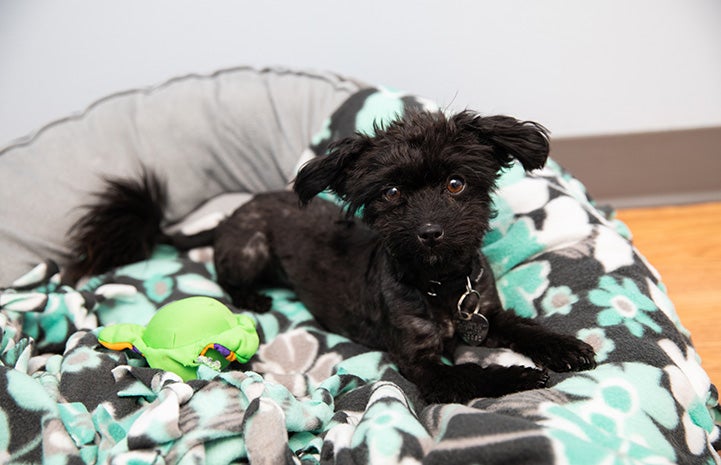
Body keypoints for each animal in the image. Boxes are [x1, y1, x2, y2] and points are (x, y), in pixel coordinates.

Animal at [66, 109, 596, 402]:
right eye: (391, 193)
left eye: (456, 183)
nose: (430, 232)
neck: (440, 285)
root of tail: (233, 211)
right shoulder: (421, 364)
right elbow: (468, 373)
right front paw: (521, 377)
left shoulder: (486, 312)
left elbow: (524, 327)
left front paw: (564, 348)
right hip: (250, 248)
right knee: (224, 275)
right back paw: (253, 299)